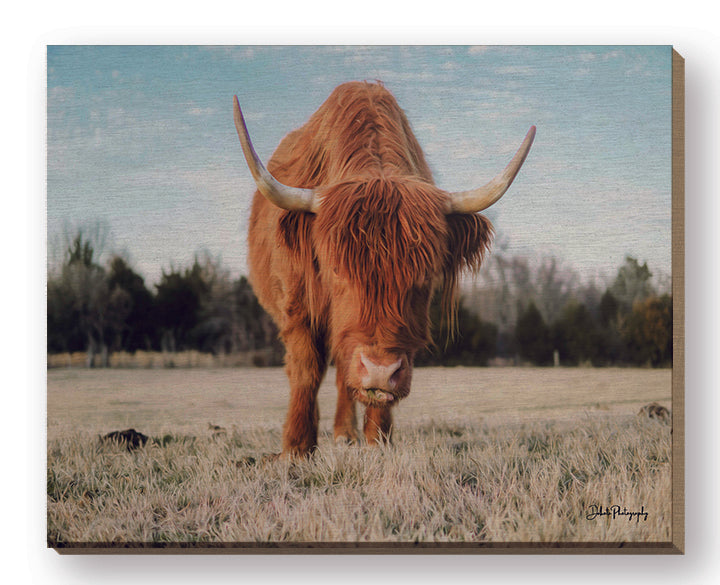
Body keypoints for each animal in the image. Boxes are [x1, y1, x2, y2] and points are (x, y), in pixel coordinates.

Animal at [233, 81, 535, 459]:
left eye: (425, 276)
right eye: (335, 269)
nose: (379, 372)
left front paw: (377, 440)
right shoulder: (297, 306)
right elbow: (306, 368)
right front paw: (296, 447)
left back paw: (345, 433)